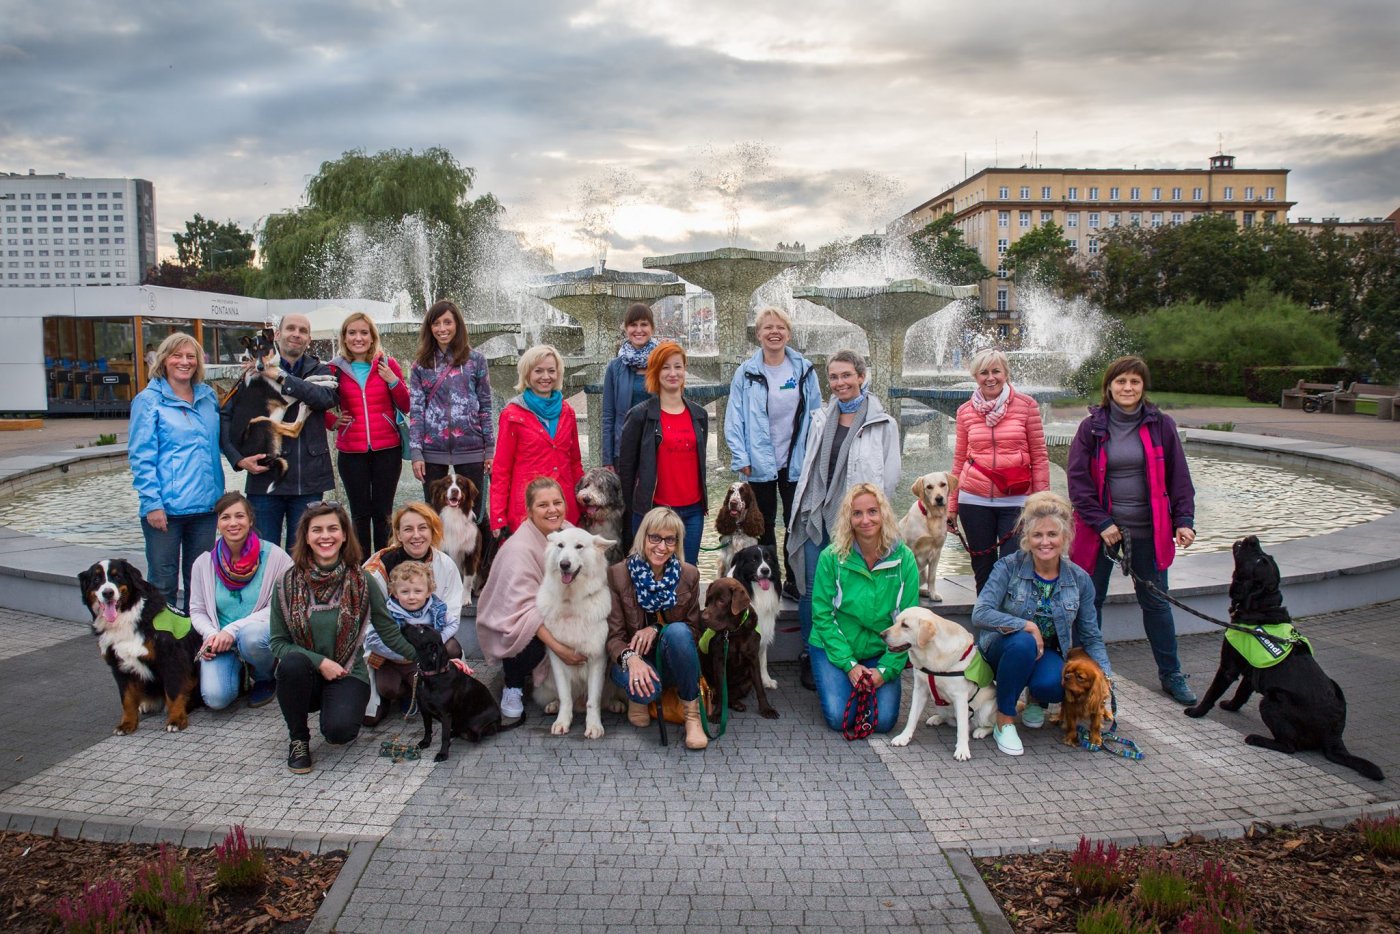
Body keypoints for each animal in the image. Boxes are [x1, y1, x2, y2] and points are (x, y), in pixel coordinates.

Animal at [77, 560, 203, 733]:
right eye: (96, 580)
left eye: (117, 576)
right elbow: (127, 699)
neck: (125, 619)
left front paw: (176, 719)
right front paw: (127, 724)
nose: (108, 593)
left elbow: (173, 692)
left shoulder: (171, 657)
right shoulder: (118, 664)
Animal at [1187, 532, 1383, 784]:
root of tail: (1334, 737)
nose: (1253, 537)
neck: (1261, 607)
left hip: (1272, 700)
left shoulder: (1229, 666)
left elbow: (1212, 692)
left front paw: (1196, 712)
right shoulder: (1253, 670)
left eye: (1260, 560)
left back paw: (1256, 738)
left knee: (1290, 746)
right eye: (1265, 556)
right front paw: (1230, 706)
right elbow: (1241, 693)